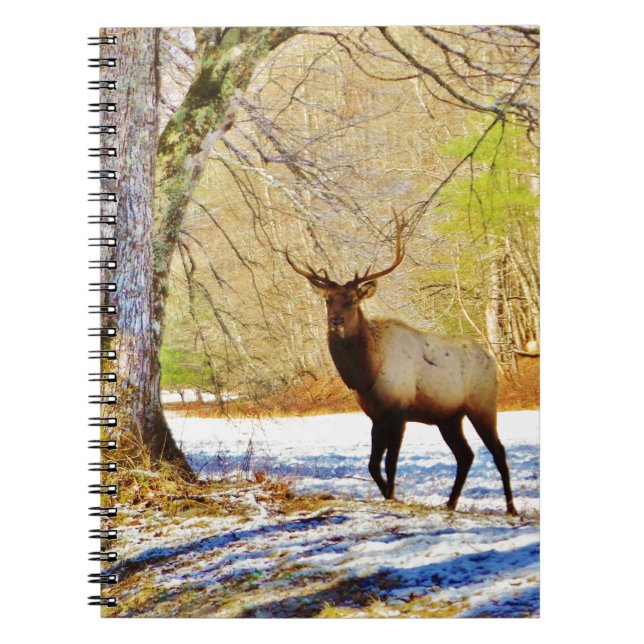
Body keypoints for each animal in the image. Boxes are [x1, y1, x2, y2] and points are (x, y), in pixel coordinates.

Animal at [285, 217, 517, 516]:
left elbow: (390, 463)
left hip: (482, 403)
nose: (335, 321)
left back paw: (510, 508)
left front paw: (392, 497)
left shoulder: (399, 412)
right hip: (448, 417)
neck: (366, 374)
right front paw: (389, 495)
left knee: (498, 451)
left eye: (352, 299)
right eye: (328, 299)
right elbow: (373, 465)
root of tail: (490, 358)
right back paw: (450, 503)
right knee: (466, 454)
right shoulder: (376, 415)